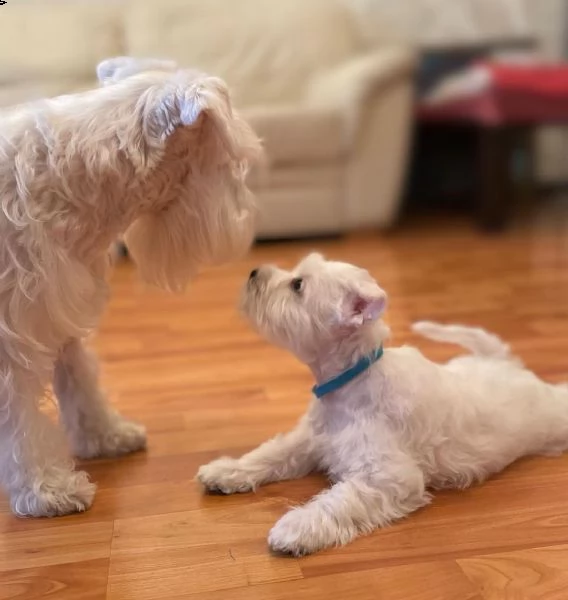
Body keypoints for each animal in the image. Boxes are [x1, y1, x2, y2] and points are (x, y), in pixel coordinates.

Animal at [0, 55, 262, 516]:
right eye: (235, 159)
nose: (248, 219)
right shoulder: (14, 343)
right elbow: (22, 426)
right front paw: (45, 489)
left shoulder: (60, 313)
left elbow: (81, 381)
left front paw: (104, 435)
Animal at [196, 251, 568, 556]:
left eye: (298, 284)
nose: (253, 272)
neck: (352, 382)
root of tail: (510, 366)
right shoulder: (311, 440)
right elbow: (270, 454)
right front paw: (226, 471)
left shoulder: (387, 476)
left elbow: (337, 501)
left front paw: (295, 527)